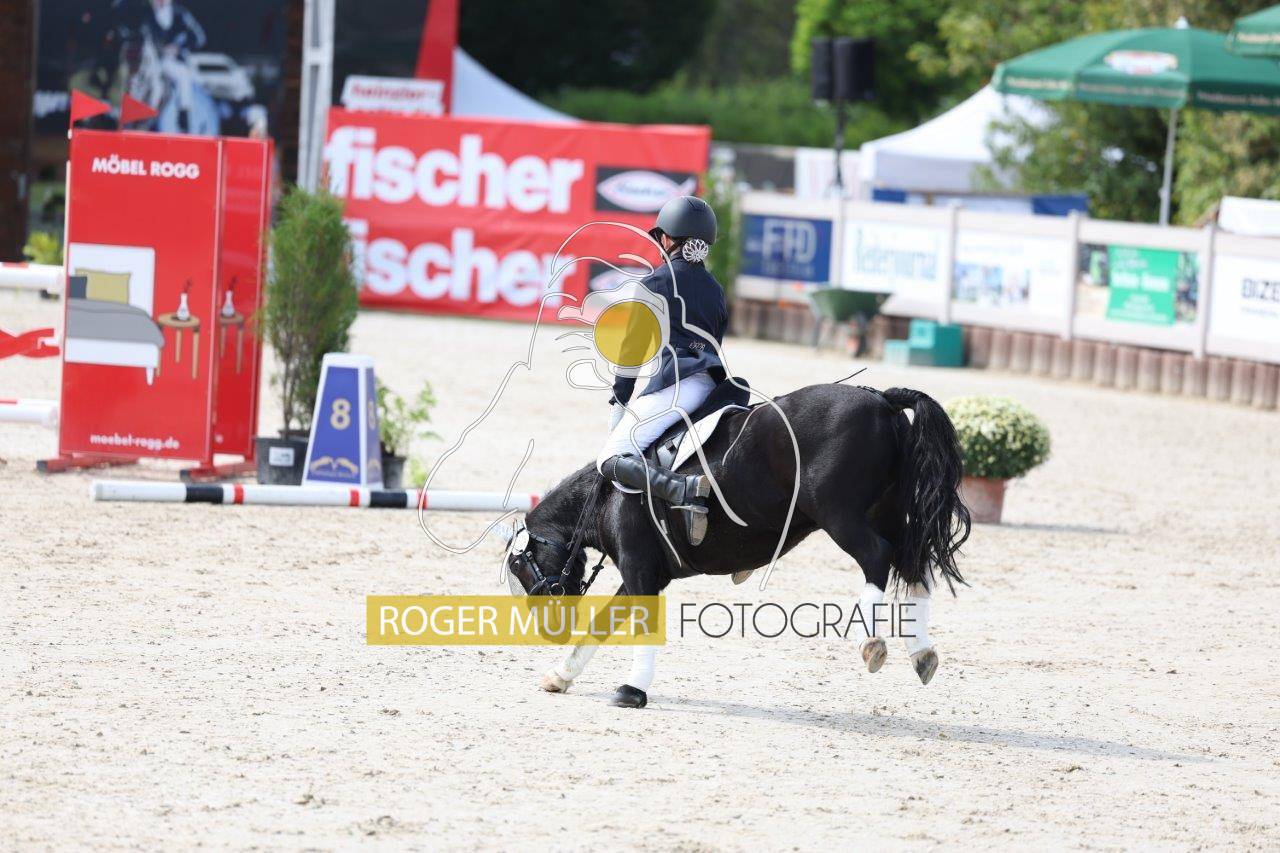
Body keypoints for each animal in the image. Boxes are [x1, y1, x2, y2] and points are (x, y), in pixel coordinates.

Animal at [503, 382, 971, 708]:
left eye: (520, 568)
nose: (547, 631)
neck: (610, 492)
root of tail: (882, 400)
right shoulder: (645, 572)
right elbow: (602, 625)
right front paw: (560, 675)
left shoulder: (638, 568)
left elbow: (634, 627)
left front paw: (632, 691)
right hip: (888, 512)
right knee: (913, 565)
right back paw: (922, 652)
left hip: (842, 517)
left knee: (878, 556)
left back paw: (871, 642)